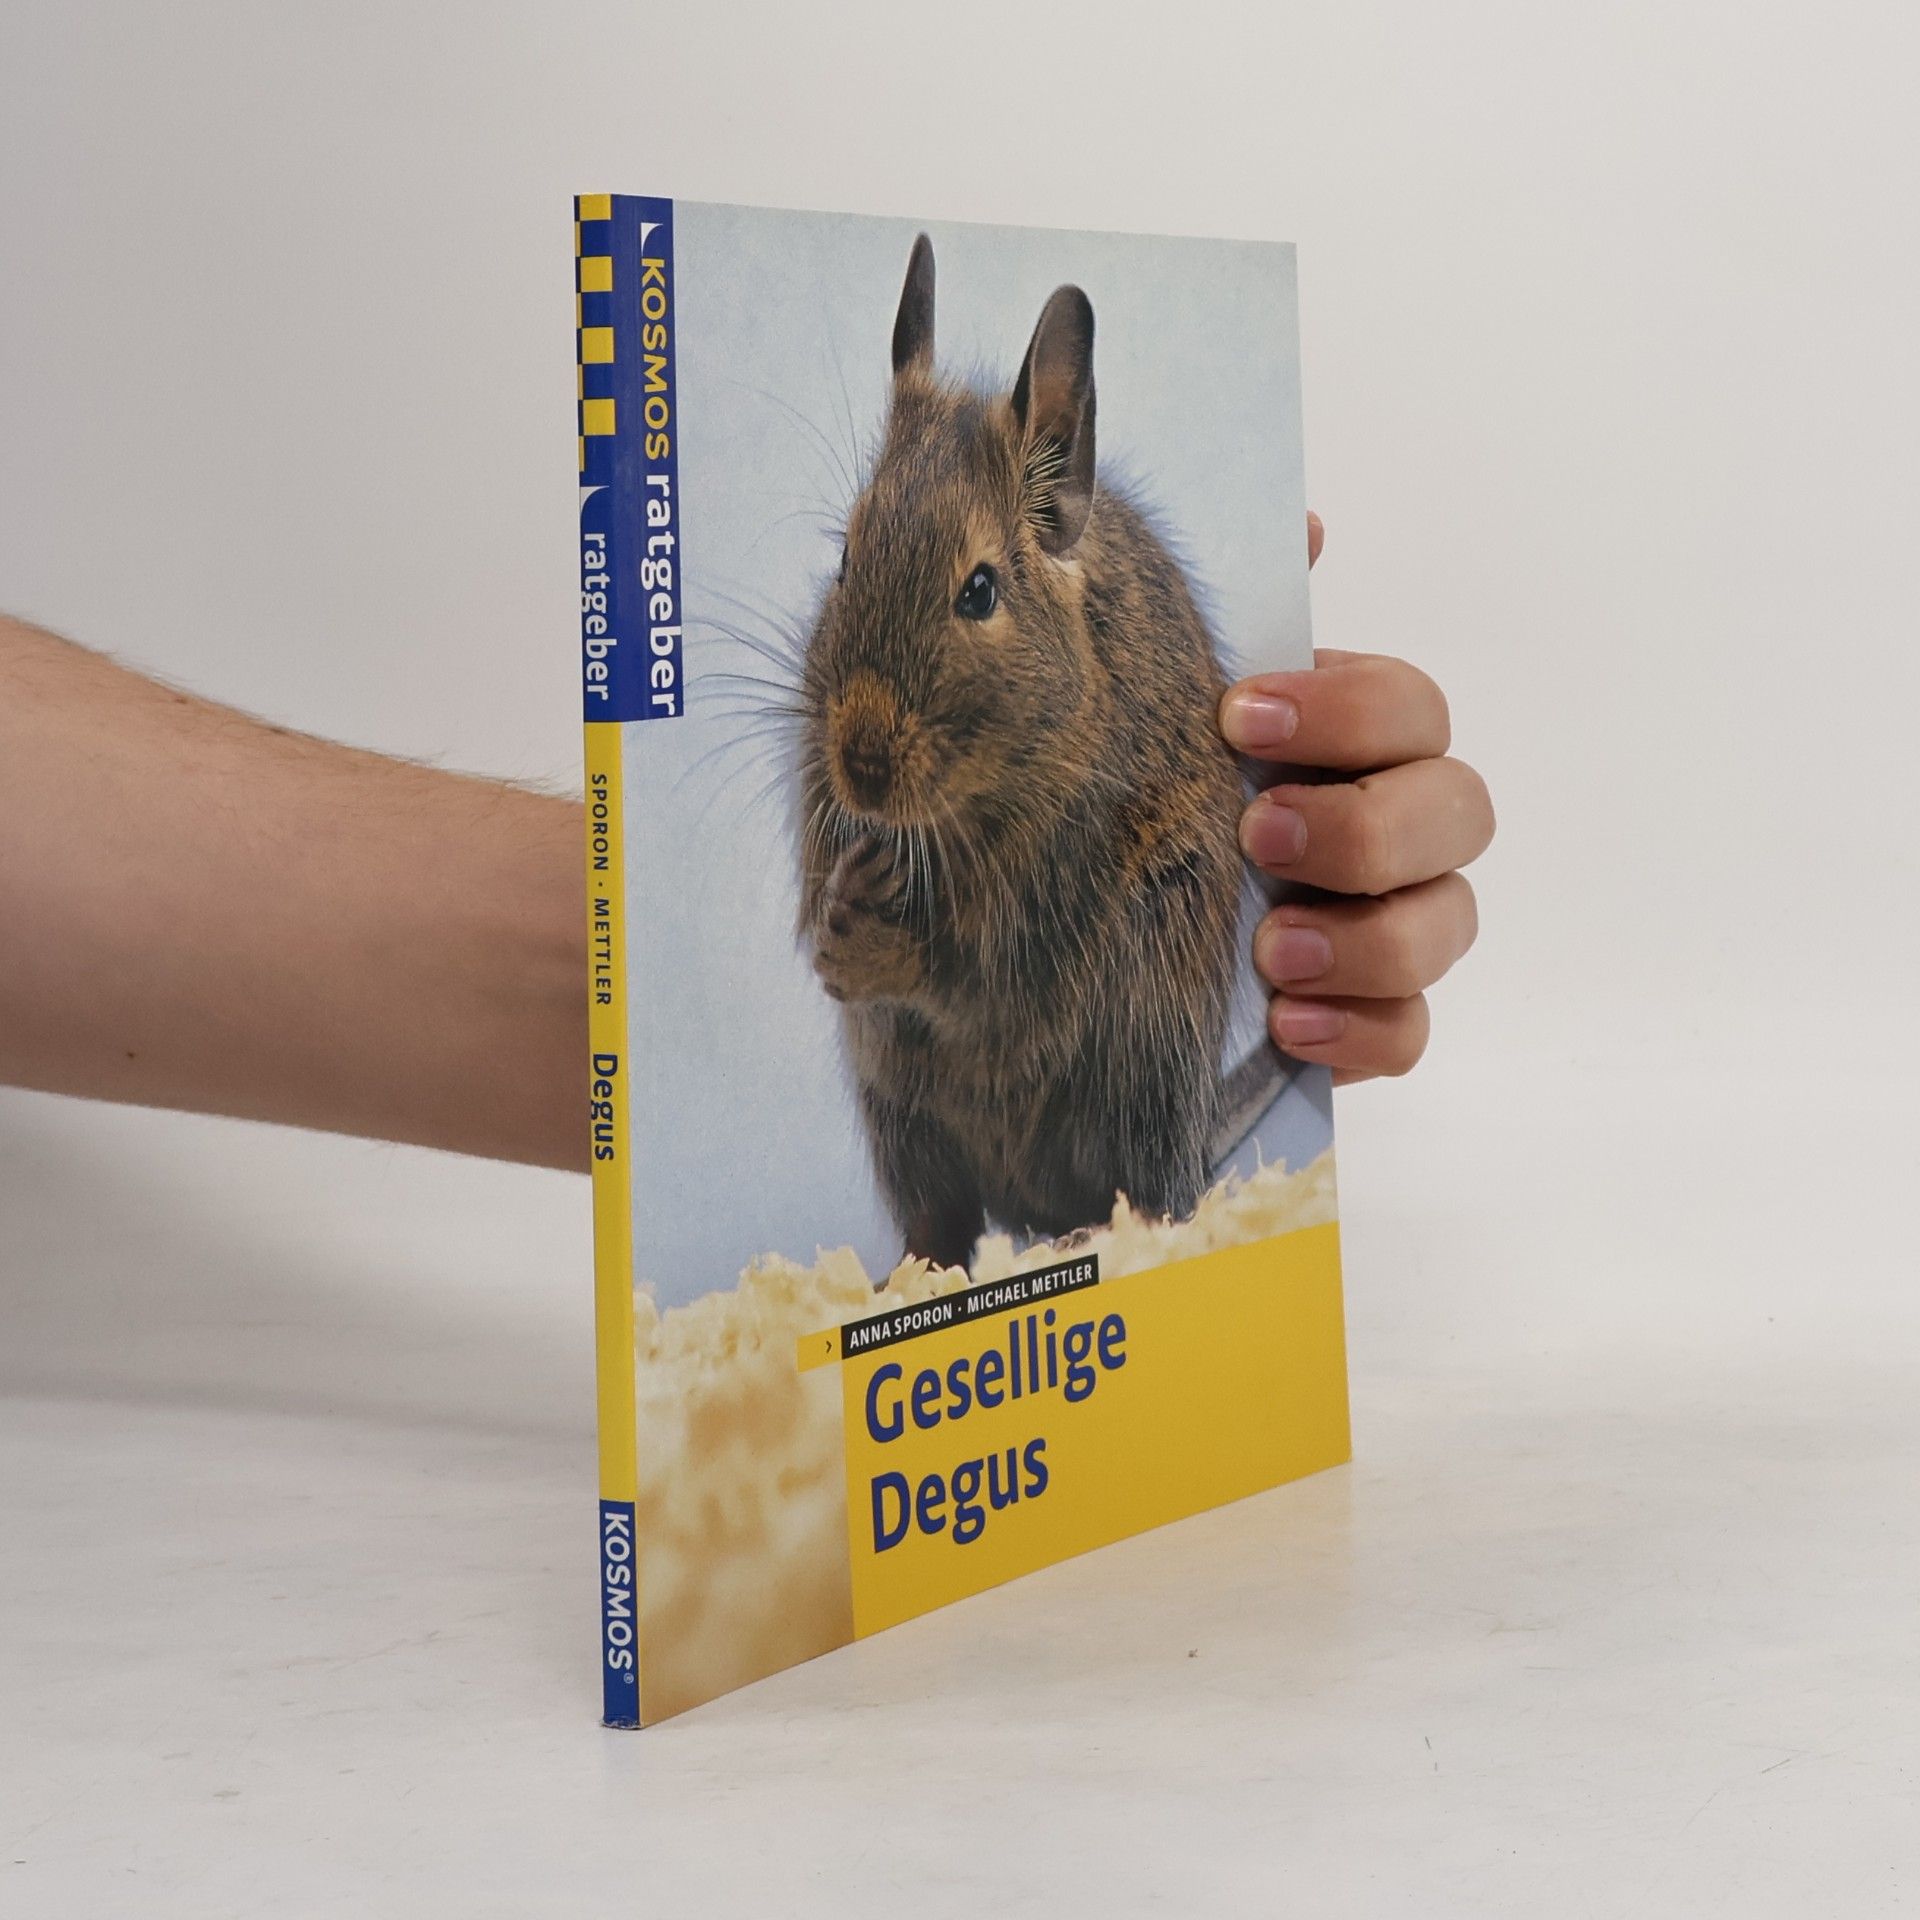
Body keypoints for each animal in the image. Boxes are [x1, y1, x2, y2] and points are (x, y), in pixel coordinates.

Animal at [797, 233, 1257, 1272]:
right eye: (845, 559)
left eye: (979, 591)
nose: (862, 769)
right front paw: (837, 912)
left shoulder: (1044, 903)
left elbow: (972, 976)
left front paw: (868, 947)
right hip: (900, 1113)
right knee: (943, 1219)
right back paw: (915, 1274)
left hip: (1148, 1043)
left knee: (1153, 1193)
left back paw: (1100, 1233)